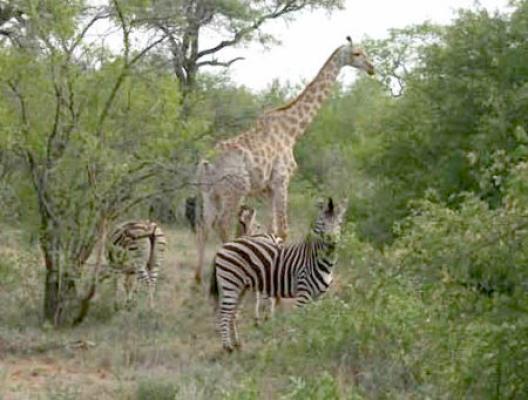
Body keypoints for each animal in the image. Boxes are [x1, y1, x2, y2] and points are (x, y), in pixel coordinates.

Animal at [195, 36, 376, 282]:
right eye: (357, 53)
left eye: (364, 52)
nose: (372, 68)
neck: (292, 131)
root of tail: (209, 164)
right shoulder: (282, 181)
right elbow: (283, 229)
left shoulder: (269, 189)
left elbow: (271, 230)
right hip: (234, 190)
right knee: (223, 223)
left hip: (208, 192)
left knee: (204, 226)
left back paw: (196, 281)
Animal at [208, 198, 348, 352]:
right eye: (322, 223)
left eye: (339, 223)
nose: (332, 240)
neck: (320, 260)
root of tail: (224, 247)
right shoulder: (303, 294)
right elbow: (301, 322)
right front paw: (300, 344)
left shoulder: (319, 296)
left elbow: (315, 320)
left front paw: (315, 341)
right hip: (230, 284)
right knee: (224, 313)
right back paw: (227, 347)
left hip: (241, 287)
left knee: (233, 313)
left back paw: (237, 343)